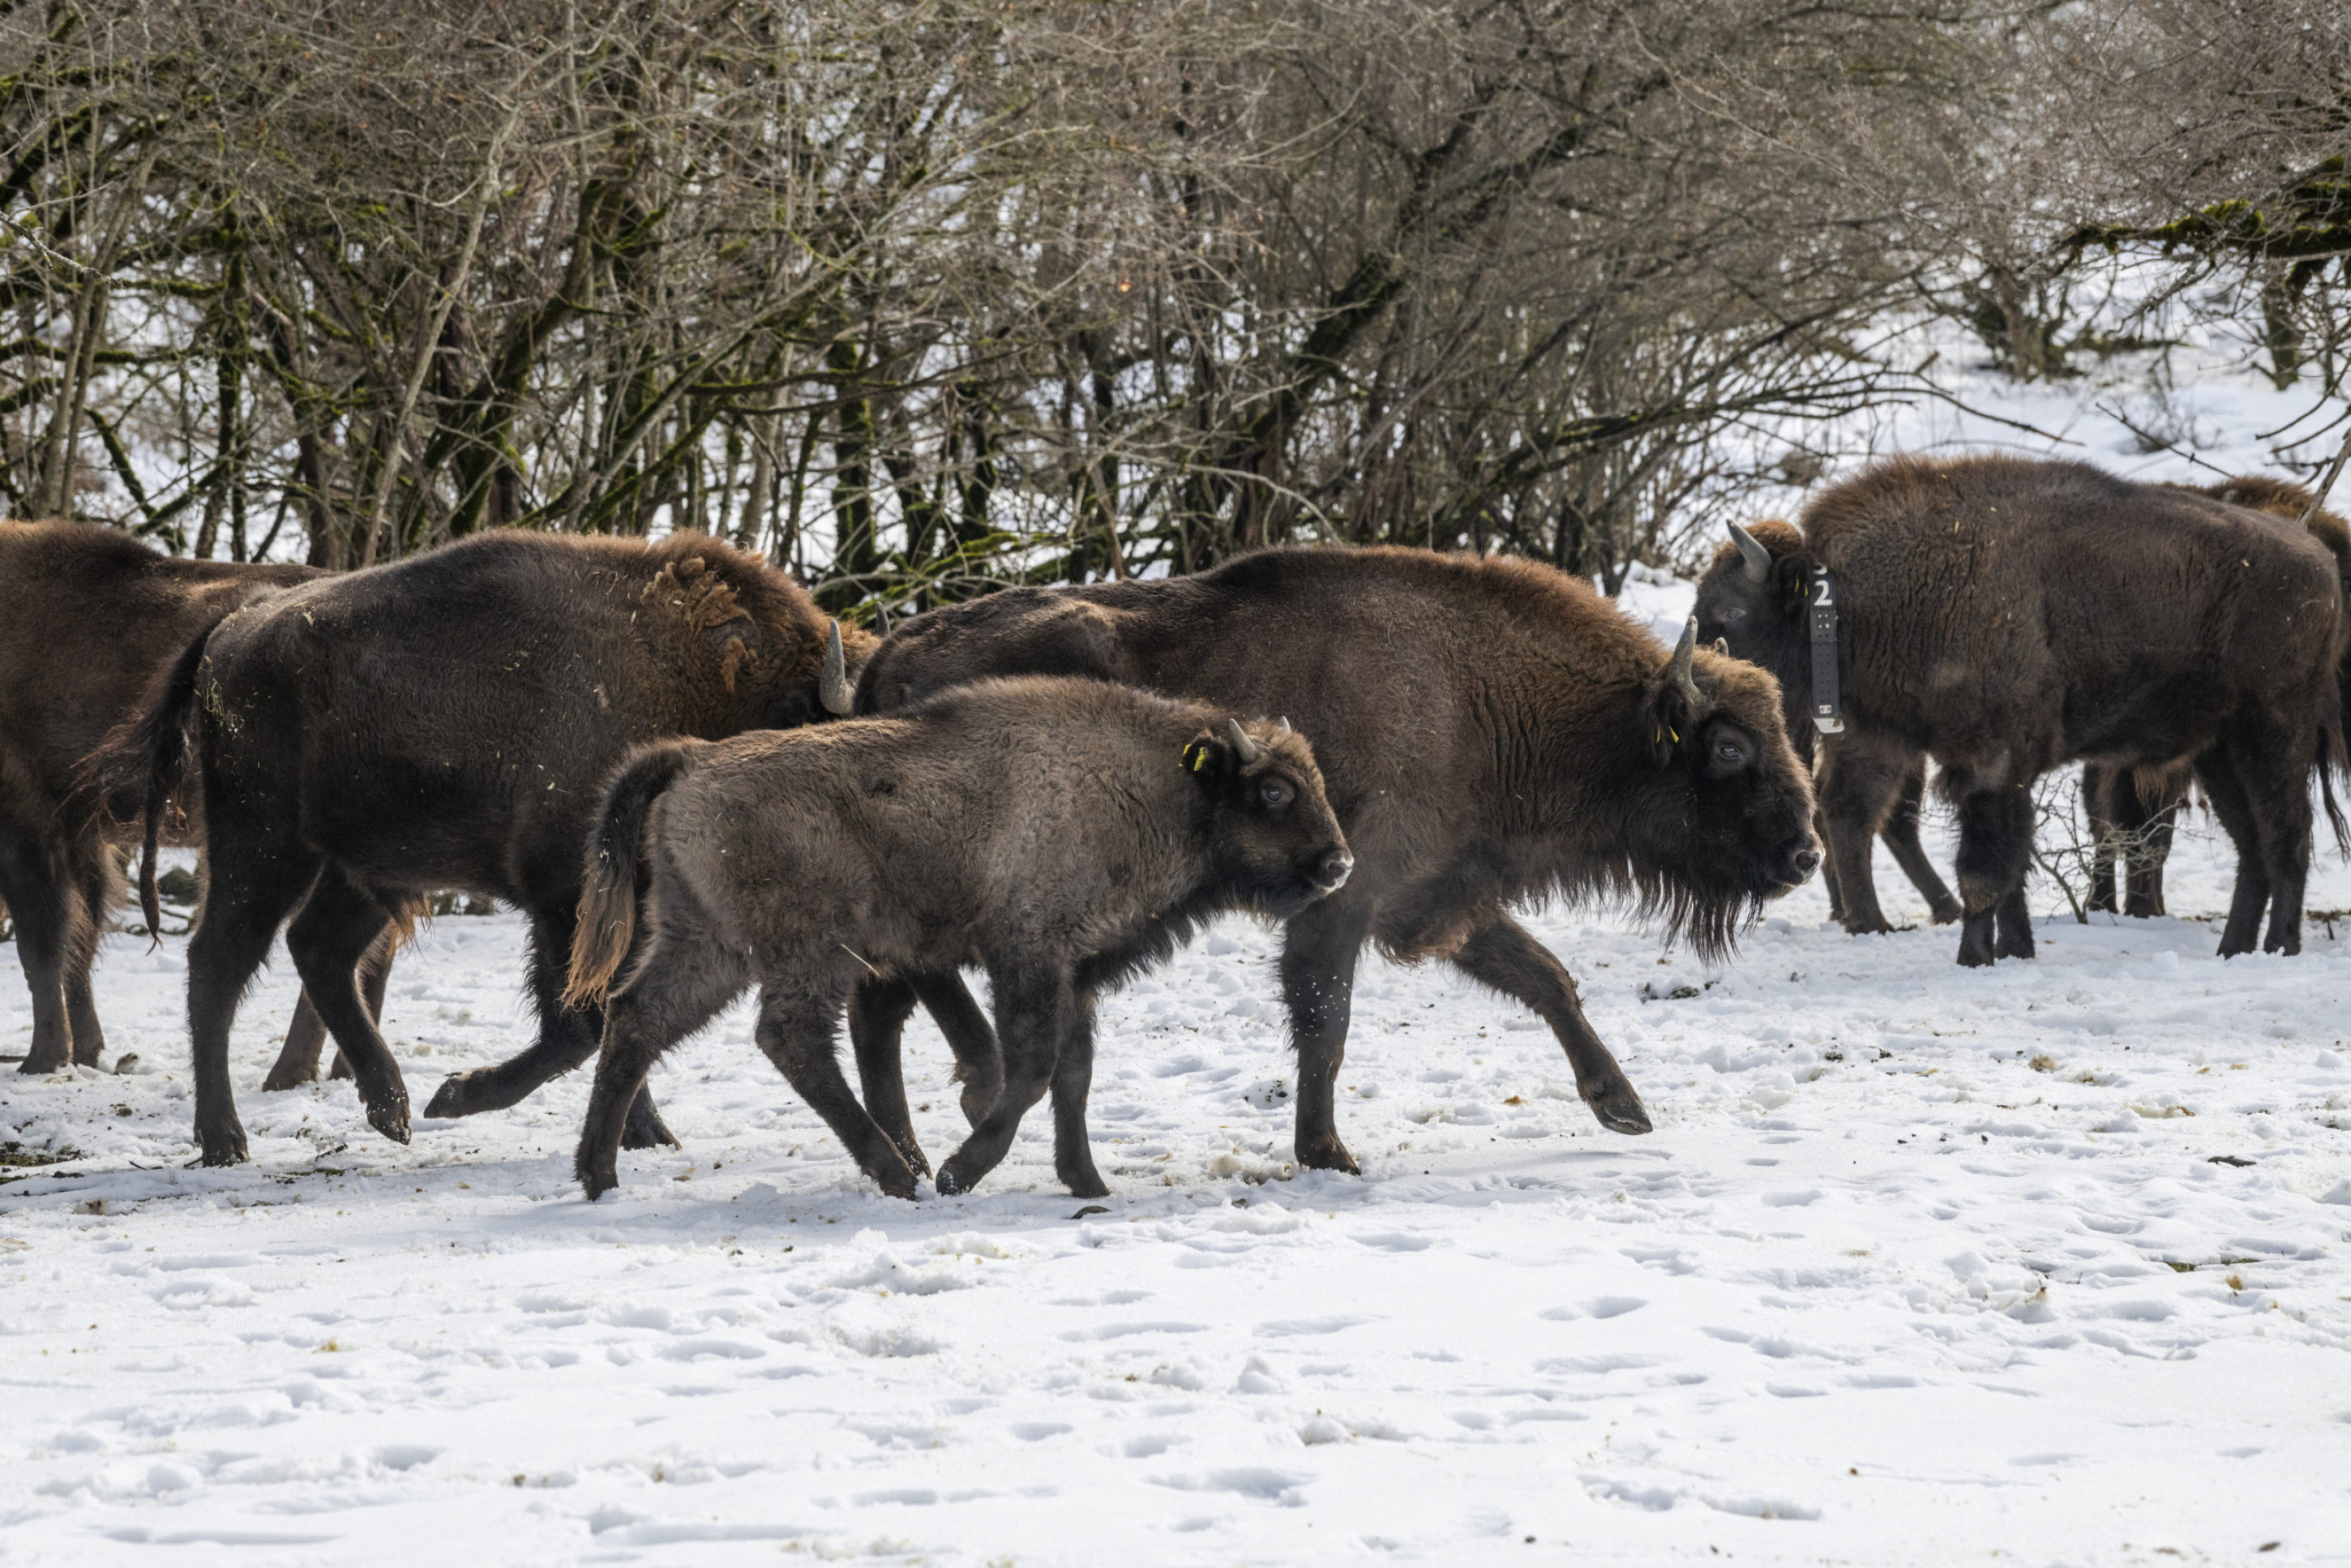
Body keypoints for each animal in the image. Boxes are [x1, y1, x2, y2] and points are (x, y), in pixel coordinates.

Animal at [95, 530, 868, 1166]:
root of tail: (232, 630)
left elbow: (613, 1015)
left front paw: (647, 1133)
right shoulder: (563, 898)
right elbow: (580, 1022)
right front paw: (461, 1095)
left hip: (369, 867)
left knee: (318, 950)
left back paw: (391, 1111)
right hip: (263, 848)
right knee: (219, 963)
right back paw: (227, 1139)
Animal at [565, 677, 1352, 1201]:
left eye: (1317, 781)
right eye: (1274, 791)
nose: (1338, 864)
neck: (1160, 786)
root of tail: (693, 761)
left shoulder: (1076, 972)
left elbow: (1075, 1074)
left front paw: (1088, 1182)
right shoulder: (1029, 957)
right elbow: (1032, 1067)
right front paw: (958, 1172)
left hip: (708, 946)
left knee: (637, 1018)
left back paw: (599, 1177)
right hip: (805, 954)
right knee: (791, 1040)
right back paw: (898, 1174)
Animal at [846, 545, 1821, 1176]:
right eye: (1727, 747)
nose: (1805, 852)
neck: (1477, 695)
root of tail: (888, 654)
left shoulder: (1436, 897)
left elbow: (1546, 978)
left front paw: (1623, 1107)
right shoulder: (1346, 903)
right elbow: (1328, 1022)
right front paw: (1329, 1153)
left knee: (881, 1004)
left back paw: (909, 1150)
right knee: (902, 993)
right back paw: (951, 1116)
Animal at [1696, 454, 2346, 966]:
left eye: (1731, 612)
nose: (1702, 677)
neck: (1848, 599)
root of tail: (2321, 562)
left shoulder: (1992, 764)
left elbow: (1985, 870)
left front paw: (1975, 956)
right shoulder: (1959, 762)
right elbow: (2007, 867)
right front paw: (2014, 949)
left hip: (2273, 734)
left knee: (2287, 838)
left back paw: (2279, 947)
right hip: (2217, 751)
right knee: (2253, 849)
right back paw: (2234, 949)